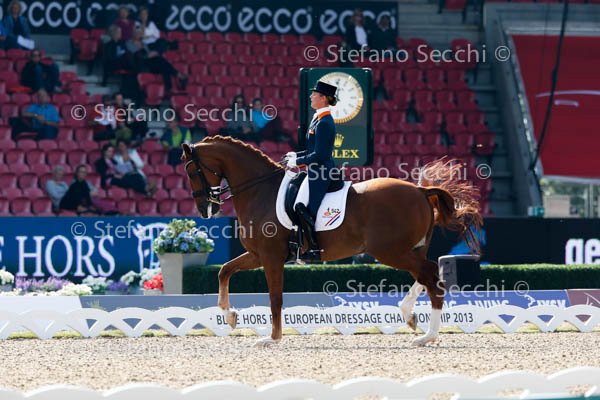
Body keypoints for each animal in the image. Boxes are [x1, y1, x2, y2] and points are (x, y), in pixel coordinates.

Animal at [181, 136, 482, 347]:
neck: (259, 190)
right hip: (411, 248)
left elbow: (275, 297)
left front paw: (272, 338)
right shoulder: (257, 255)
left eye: (192, 171)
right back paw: (410, 317)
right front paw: (230, 316)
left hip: (390, 251)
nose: (204, 209)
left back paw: (427, 335)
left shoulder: (270, 256)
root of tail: (420, 190)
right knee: (426, 274)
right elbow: (224, 271)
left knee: (429, 274)